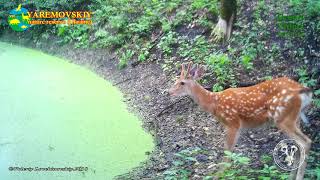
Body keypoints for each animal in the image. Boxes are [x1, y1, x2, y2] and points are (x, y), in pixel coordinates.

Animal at [170, 62, 312, 180]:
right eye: (176, 80)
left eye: (182, 82)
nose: (169, 92)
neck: (214, 104)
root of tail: (303, 90)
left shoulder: (233, 123)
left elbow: (227, 153)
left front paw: (219, 175)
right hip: (295, 119)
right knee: (297, 145)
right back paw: (290, 176)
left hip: (283, 118)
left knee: (306, 142)